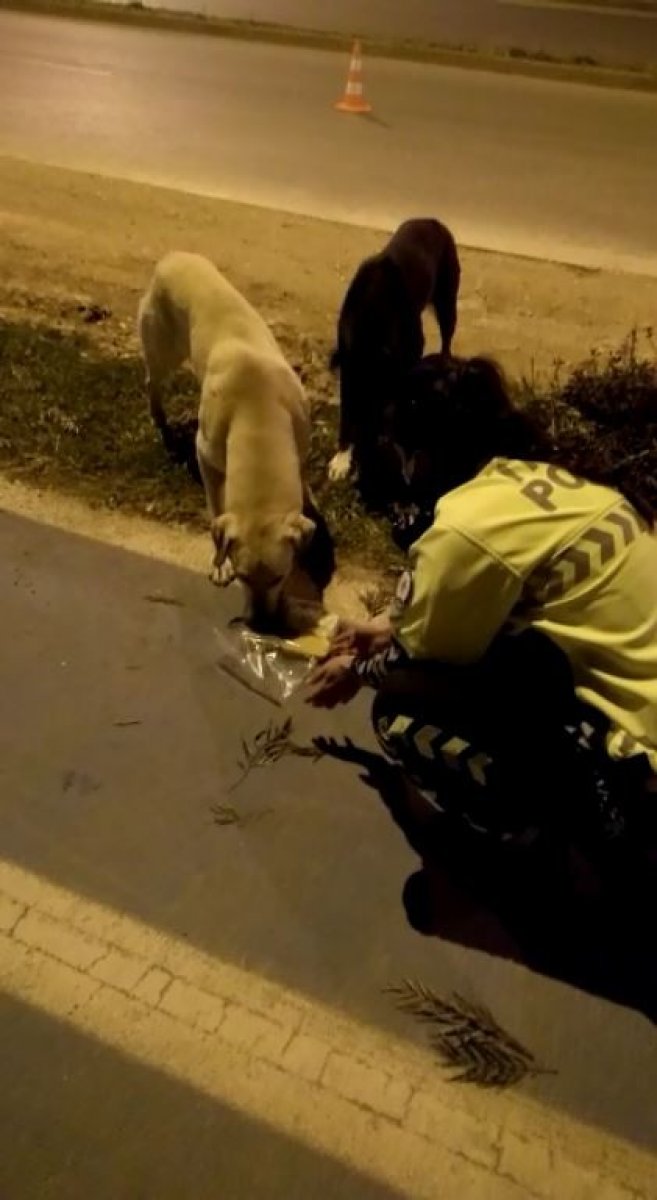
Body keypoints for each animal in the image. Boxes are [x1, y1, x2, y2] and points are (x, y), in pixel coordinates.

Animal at [137, 254, 314, 628]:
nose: (261, 624)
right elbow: (215, 506)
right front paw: (218, 563)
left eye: (278, 577)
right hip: (163, 352)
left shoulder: (301, 448)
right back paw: (160, 418)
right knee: (152, 381)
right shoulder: (205, 455)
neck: (259, 414)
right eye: (243, 578)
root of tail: (172, 256)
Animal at [328, 218, 462, 508]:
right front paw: (342, 460)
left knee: (447, 339)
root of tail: (433, 220)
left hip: (447, 302)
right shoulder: (350, 370)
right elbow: (346, 416)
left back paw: (446, 363)